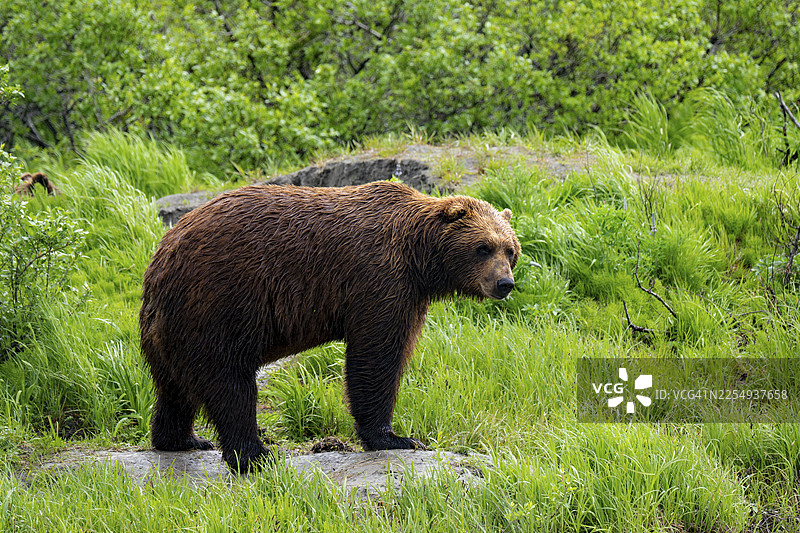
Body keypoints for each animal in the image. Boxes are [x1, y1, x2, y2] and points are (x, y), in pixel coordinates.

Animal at [140, 180, 520, 473]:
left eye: (510, 250)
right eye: (483, 247)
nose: (504, 283)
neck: (419, 258)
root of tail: (164, 256)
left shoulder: (410, 294)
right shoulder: (379, 280)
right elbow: (376, 357)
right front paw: (395, 437)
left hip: (171, 326)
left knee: (174, 389)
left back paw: (183, 439)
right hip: (220, 304)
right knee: (230, 384)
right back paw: (255, 454)